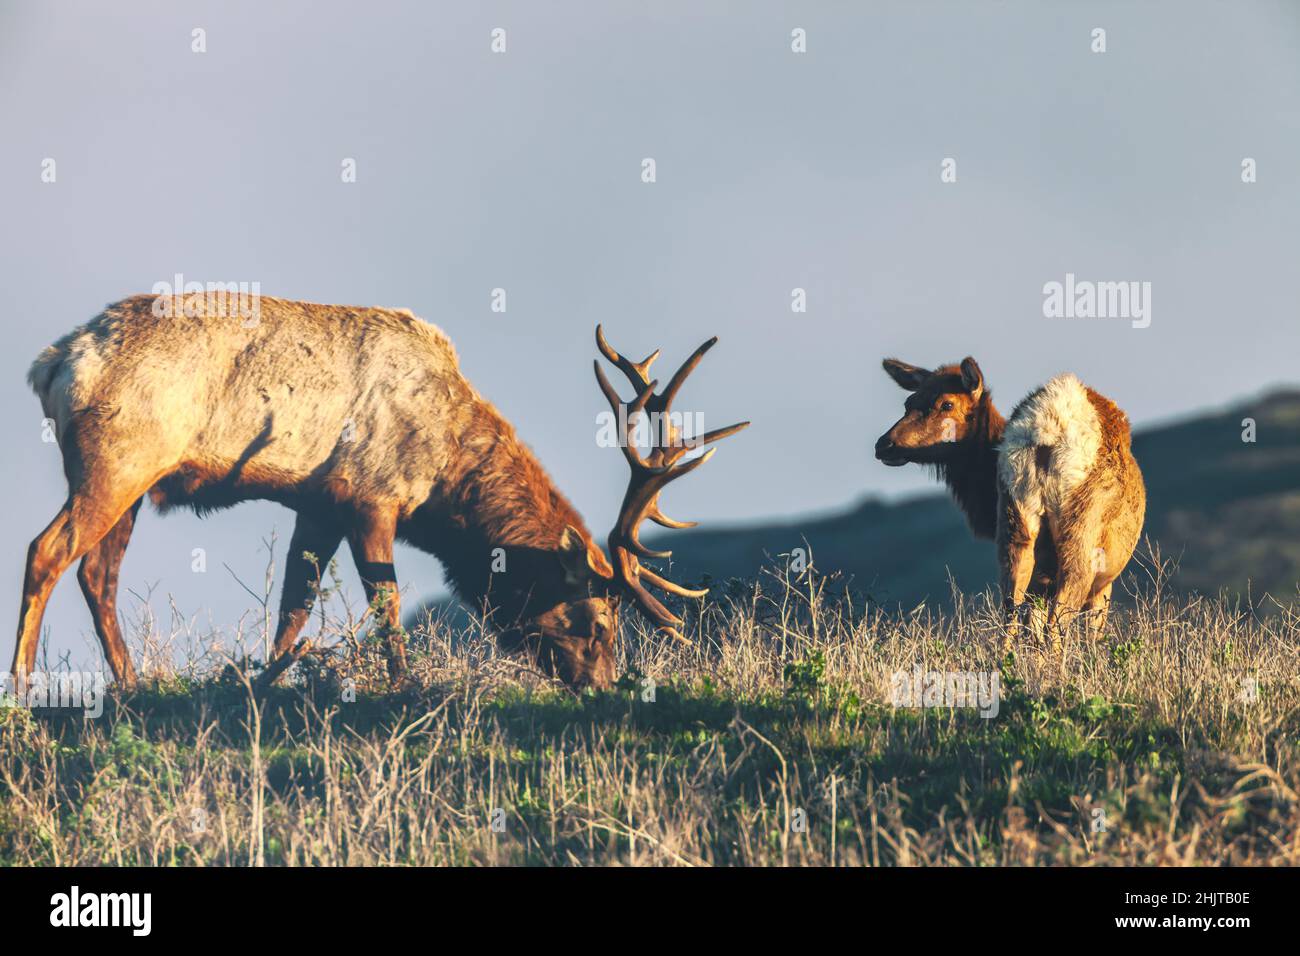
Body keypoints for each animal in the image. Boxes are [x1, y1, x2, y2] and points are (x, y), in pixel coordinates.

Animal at [15, 295, 748, 691]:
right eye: (595, 620)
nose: (600, 684)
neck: (447, 477)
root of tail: (53, 363)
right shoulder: (370, 497)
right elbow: (387, 604)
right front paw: (403, 686)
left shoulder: (316, 505)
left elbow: (294, 604)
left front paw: (269, 679)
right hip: (117, 461)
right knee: (45, 551)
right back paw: (23, 686)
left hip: (134, 482)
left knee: (98, 573)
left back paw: (130, 684)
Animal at [873, 358, 1149, 642]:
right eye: (909, 403)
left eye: (946, 404)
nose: (884, 444)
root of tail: (1047, 432)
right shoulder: (1103, 583)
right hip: (1081, 536)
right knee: (1054, 624)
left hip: (1015, 523)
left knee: (1010, 618)